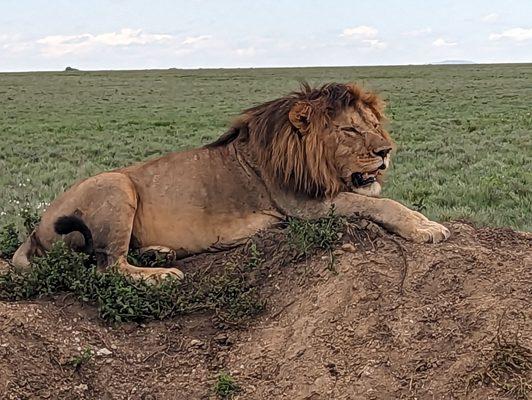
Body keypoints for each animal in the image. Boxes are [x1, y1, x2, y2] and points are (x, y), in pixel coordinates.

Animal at [11, 82, 448, 280]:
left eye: (374, 125)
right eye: (350, 131)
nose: (386, 151)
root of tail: (32, 232)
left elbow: (380, 200)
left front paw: (426, 222)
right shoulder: (305, 207)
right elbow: (380, 203)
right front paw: (426, 227)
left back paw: (159, 253)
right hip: (116, 186)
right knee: (107, 265)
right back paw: (161, 275)